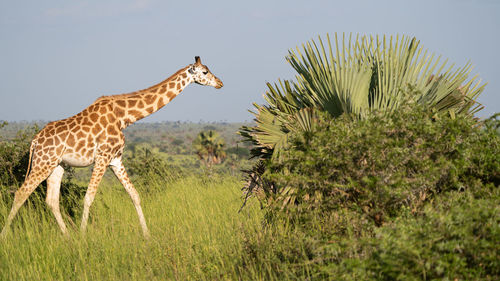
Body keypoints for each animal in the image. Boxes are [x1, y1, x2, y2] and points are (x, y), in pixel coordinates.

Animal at [0, 55, 223, 237]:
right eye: (205, 71)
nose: (220, 83)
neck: (124, 117)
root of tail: (34, 141)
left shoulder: (116, 159)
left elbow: (135, 195)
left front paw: (147, 236)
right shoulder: (103, 157)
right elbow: (89, 197)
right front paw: (83, 237)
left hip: (57, 165)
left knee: (51, 200)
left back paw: (68, 237)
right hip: (43, 162)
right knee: (21, 193)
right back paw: (6, 237)